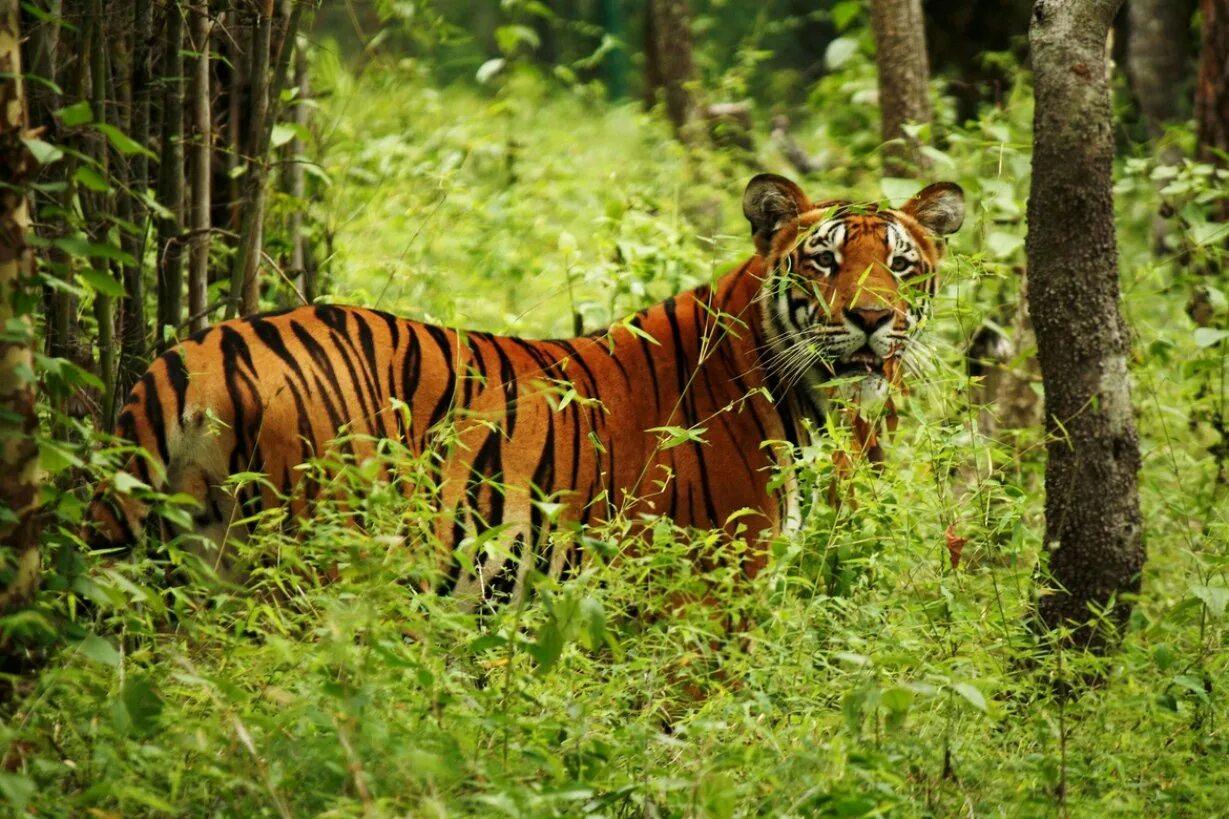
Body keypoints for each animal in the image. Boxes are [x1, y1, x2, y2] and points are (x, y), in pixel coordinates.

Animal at [86, 172, 963, 602]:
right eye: (822, 260)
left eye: (900, 263)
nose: (872, 319)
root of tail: (200, 349)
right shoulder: (708, 591)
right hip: (315, 564)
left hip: (192, 563)